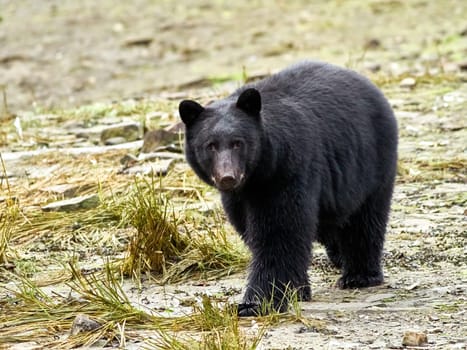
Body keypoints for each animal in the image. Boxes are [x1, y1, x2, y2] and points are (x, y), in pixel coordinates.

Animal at [179, 60, 398, 318]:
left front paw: (256, 303)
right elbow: (252, 231)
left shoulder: (287, 173)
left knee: (364, 221)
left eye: (238, 143)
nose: (227, 178)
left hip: (371, 163)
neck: (256, 177)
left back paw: (359, 275)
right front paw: (298, 290)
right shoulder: (237, 199)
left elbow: (280, 233)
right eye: (210, 145)